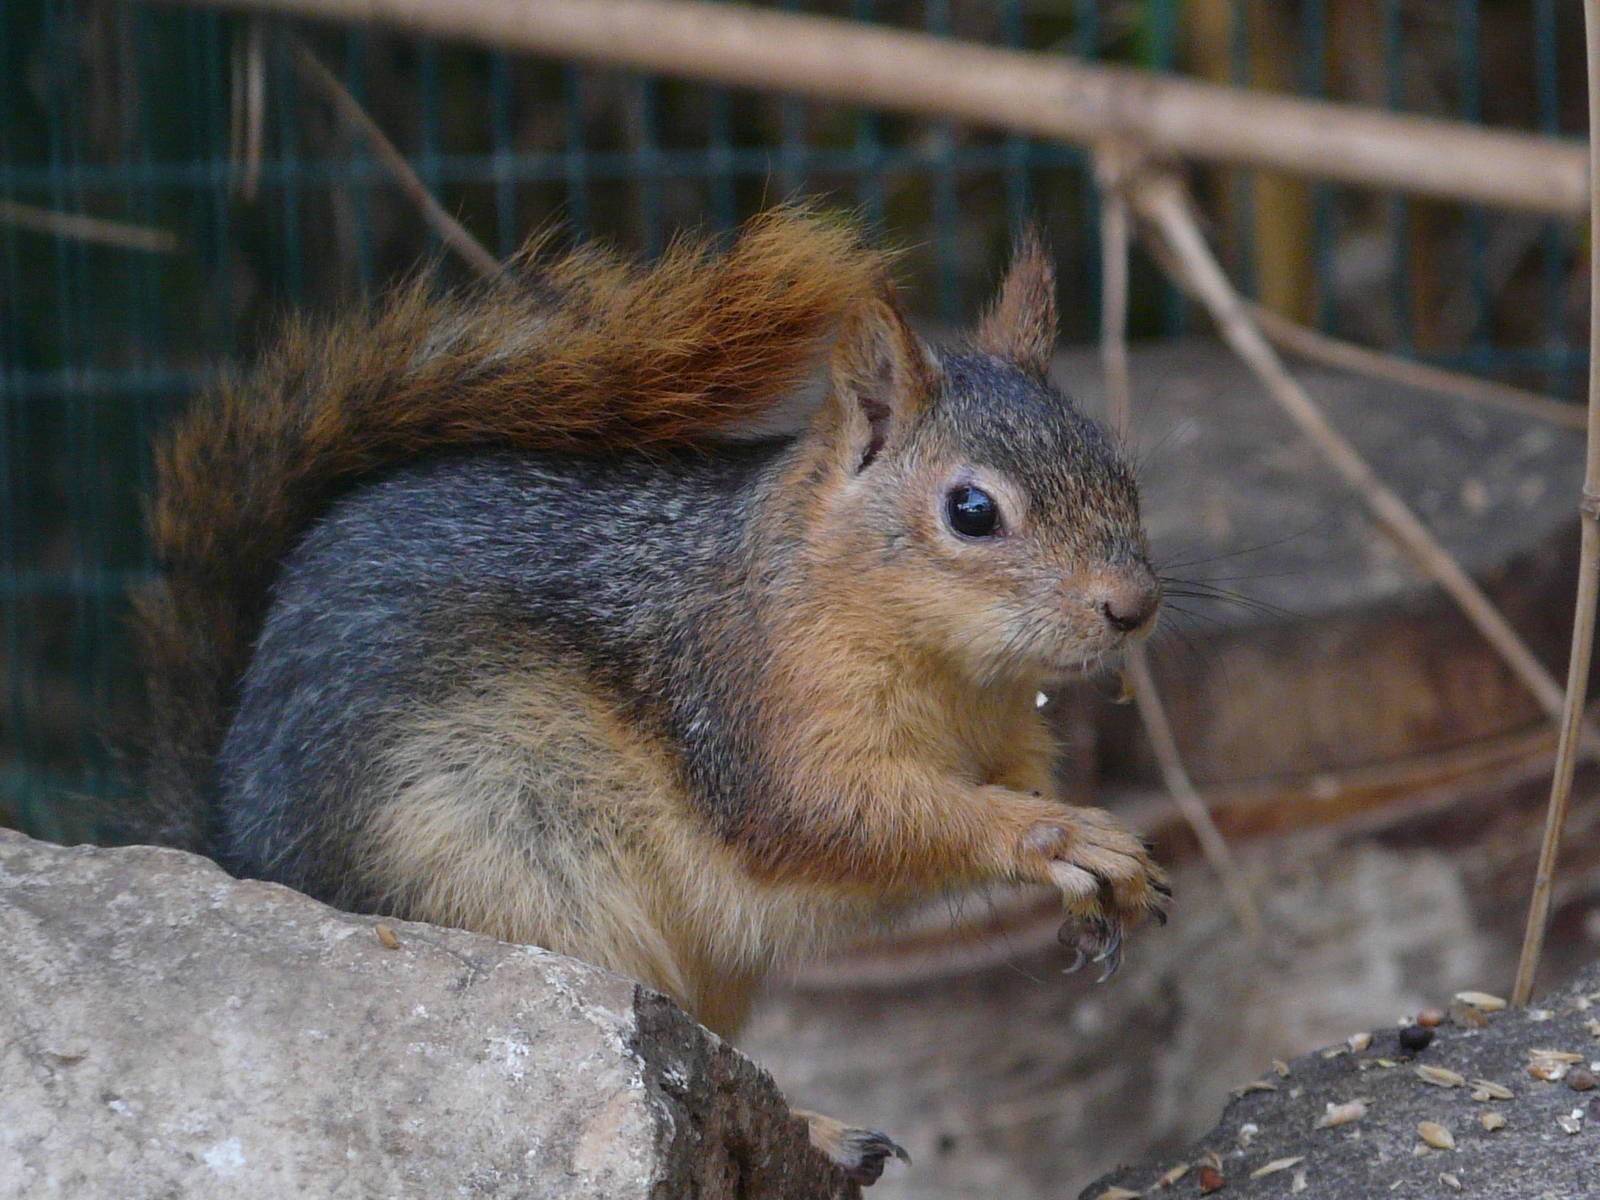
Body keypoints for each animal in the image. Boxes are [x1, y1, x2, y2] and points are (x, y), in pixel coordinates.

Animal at [132, 205, 1169, 1185]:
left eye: (1120, 467)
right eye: (971, 511)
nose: (1134, 607)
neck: (956, 677)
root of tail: (240, 845)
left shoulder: (1003, 733)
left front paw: (1095, 870)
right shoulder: (747, 708)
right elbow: (834, 814)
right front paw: (1057, 839)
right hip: (495, 875)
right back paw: (818, 1130)